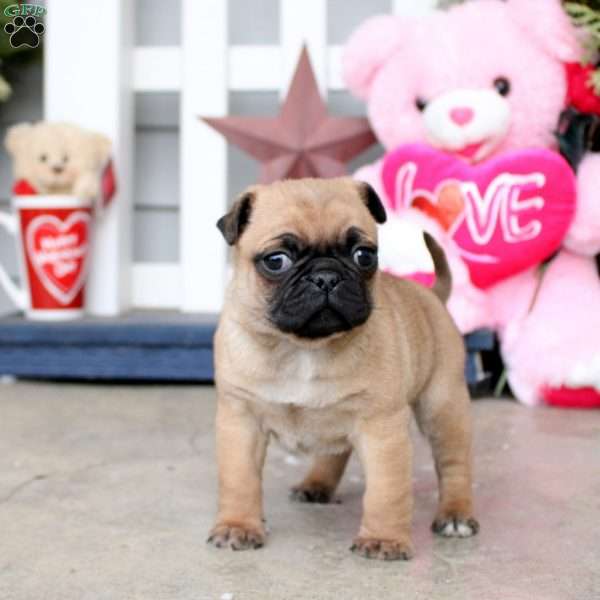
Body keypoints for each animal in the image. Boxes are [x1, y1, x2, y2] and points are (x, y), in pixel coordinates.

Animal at [209, 176, 480, 560]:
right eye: (276, 261)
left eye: (364, 255)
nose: (326, 276)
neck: (303, 348)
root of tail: (432, 295)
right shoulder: (241, 420)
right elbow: (239, 479)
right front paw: (238, 526)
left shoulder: (382, 428)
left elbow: (387, 491)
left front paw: (384, 539)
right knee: (336, 451)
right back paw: (316, 484)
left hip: (443, 407)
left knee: (454, 464)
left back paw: (455, 515)